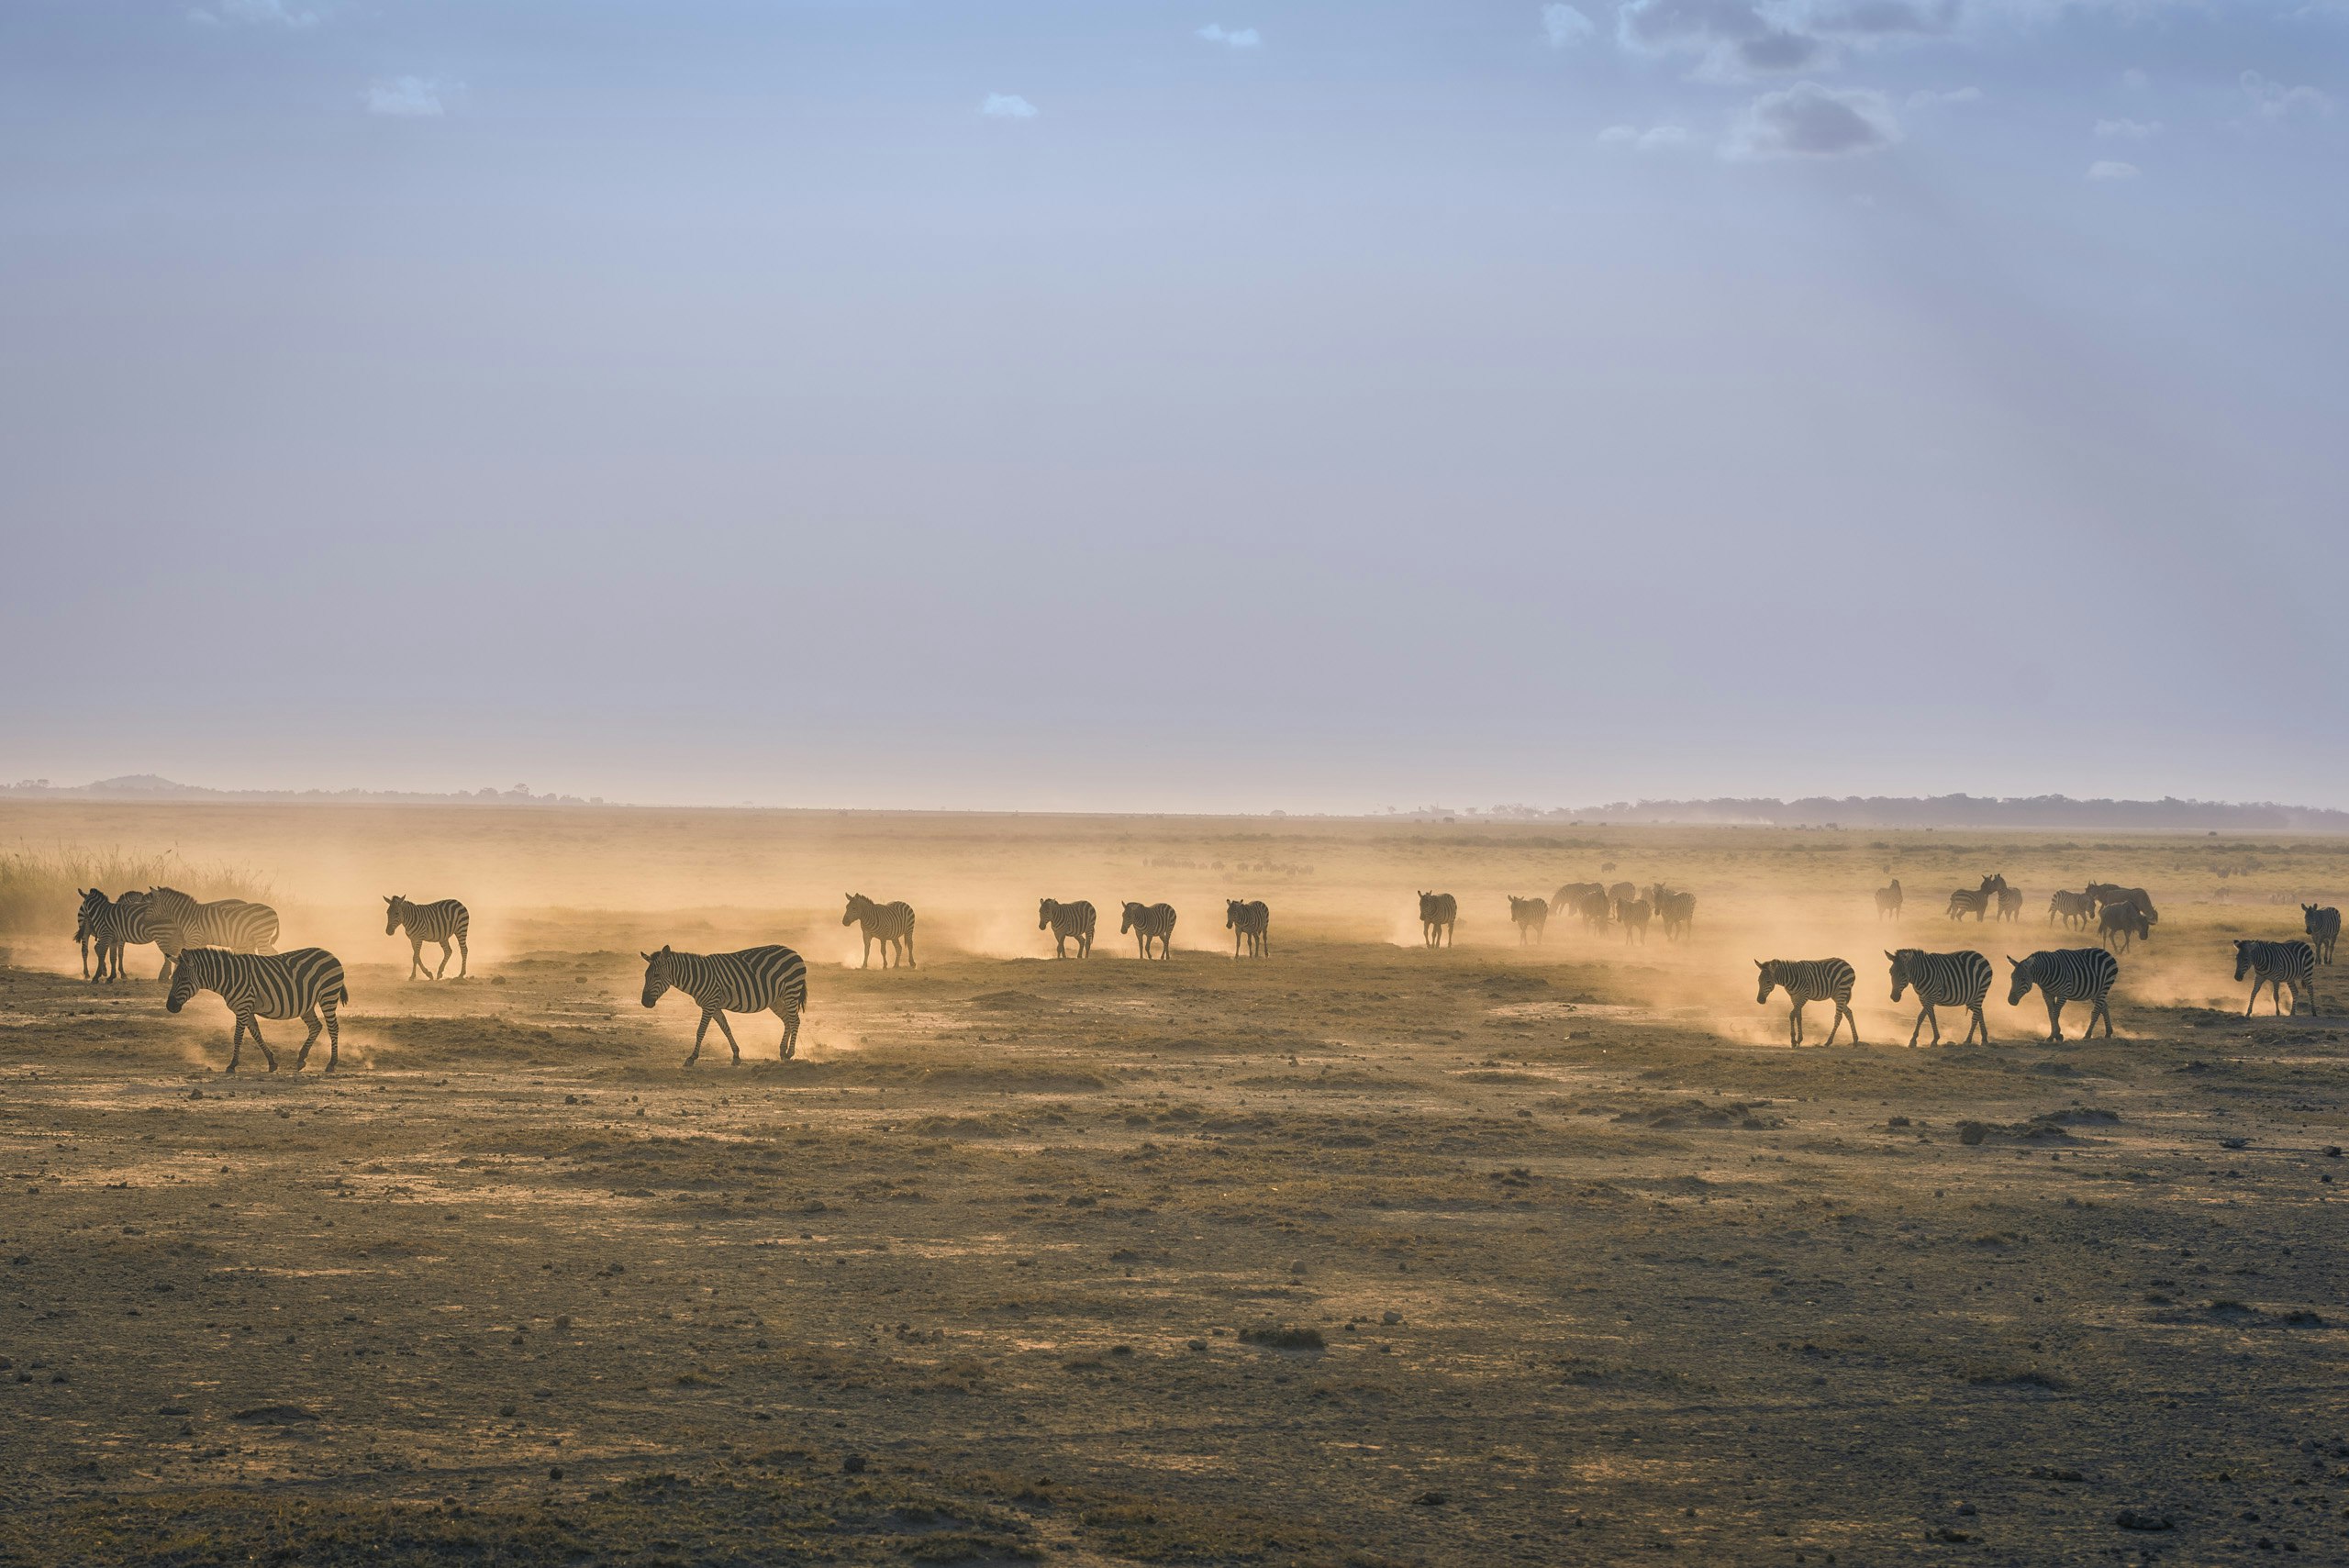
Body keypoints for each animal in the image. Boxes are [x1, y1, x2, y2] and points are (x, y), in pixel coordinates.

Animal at [166, 948, 347, 1070]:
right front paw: (271, 1062)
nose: (169, 1006)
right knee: (316, 1026)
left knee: (333, 1027)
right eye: (173, 978)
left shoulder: (243, 1007)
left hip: (328, 995)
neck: (229, 978)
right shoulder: (246, 1009)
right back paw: (301, 1058)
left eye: (183, 979)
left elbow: (238, 1037)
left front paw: (232, 1065)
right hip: (307, 1005)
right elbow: (256, 1035)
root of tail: (330, 954)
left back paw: (332, 1063)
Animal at [639, 943, 812, 1065]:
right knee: (787, 1020)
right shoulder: (714, 1007)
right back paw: (782, 1051)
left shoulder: (709, 1005)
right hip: (776, 999)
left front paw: (692, 1057)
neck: (697, 976)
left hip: (791, 991)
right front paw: (736, 1055)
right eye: (645, 975)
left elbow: (700, 1031)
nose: (645, 1002)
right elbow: (726, 1028)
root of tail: (793, 951)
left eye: (656, 975)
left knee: (795, 1020)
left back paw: (790, 1052)